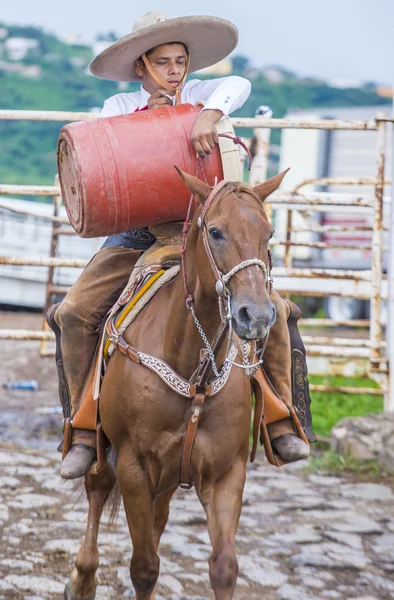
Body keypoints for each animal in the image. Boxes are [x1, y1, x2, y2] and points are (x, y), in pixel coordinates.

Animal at [63, 168, 286, 600]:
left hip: (168, 475)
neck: (193, 372)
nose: (256, 315)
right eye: (215, 231)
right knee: (97, 484)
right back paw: (82, 578)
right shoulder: (133, 467)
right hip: (104, 444)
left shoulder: (227, 471)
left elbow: (223, 568)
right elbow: (144, 567)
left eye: (268, 233)